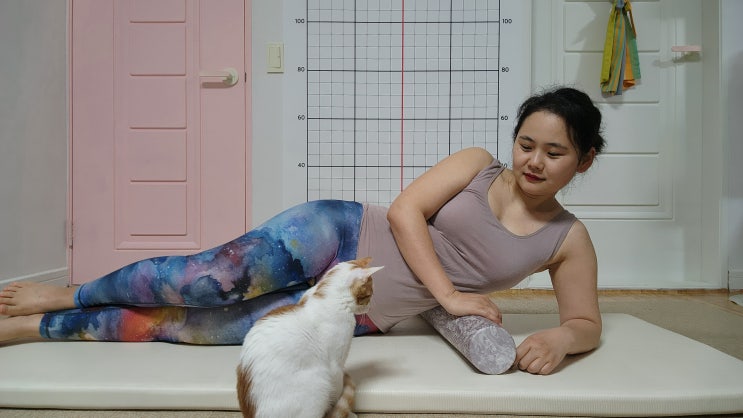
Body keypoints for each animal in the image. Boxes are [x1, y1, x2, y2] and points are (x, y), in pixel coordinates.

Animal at [236, 257, 381, 418]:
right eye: (369, 295)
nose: (369, 308)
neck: (328, 296)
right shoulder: (335, 366)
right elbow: (337, 394)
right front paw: (345, 413)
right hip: (318, 384)